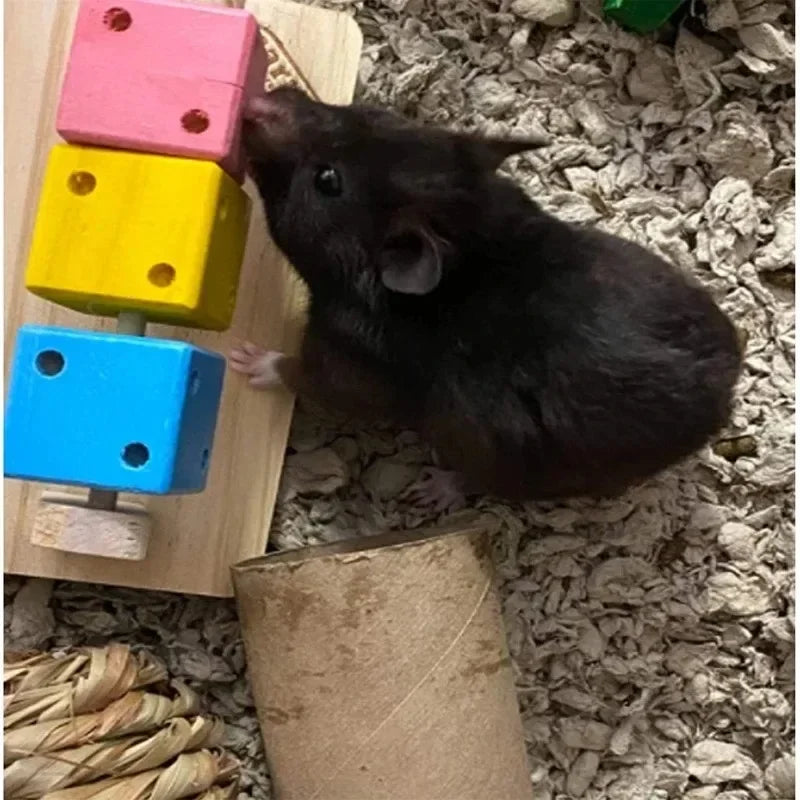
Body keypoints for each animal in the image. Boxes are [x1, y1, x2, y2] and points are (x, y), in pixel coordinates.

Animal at [231, 87, 742, 508]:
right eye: (372, 114)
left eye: (327, 180)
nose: (256, 103)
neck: (470, 241)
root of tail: (721, 403)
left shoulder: (350, 364)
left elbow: (303, 374)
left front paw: (248, 360)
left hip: (509, 458)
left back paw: (434, 489)